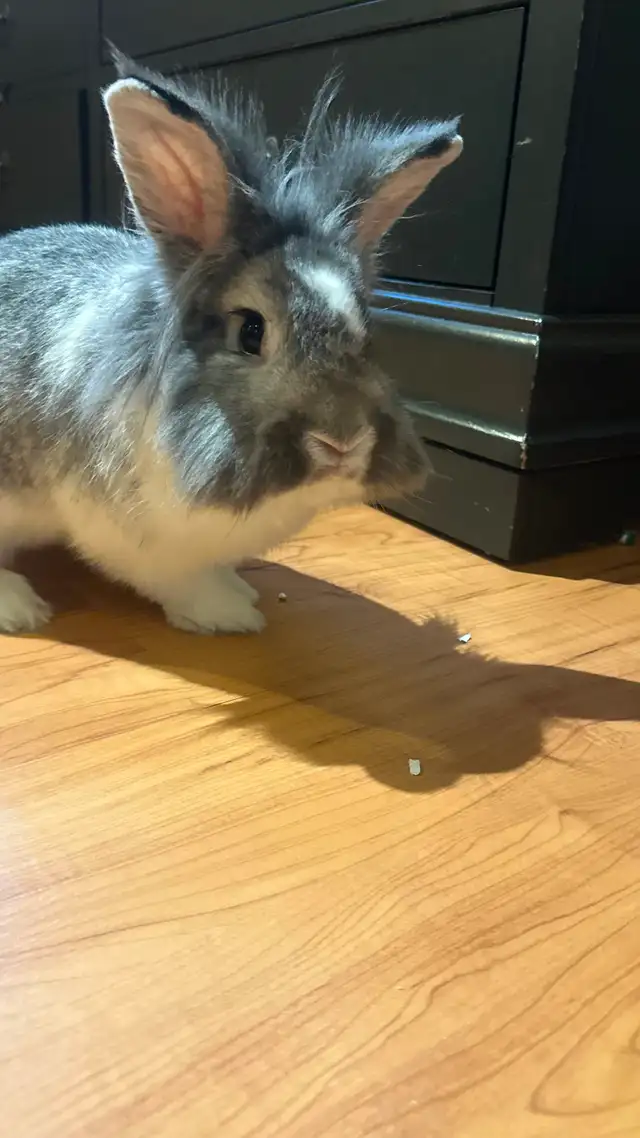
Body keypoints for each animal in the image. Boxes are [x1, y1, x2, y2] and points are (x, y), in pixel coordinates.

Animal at [0, 52, 462, 635]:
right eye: (250, 332)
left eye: (368, 332)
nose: (342, 443)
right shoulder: (128, 534)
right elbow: (175, 579)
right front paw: (231, 614)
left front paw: (238, 589)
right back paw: (20, 608)